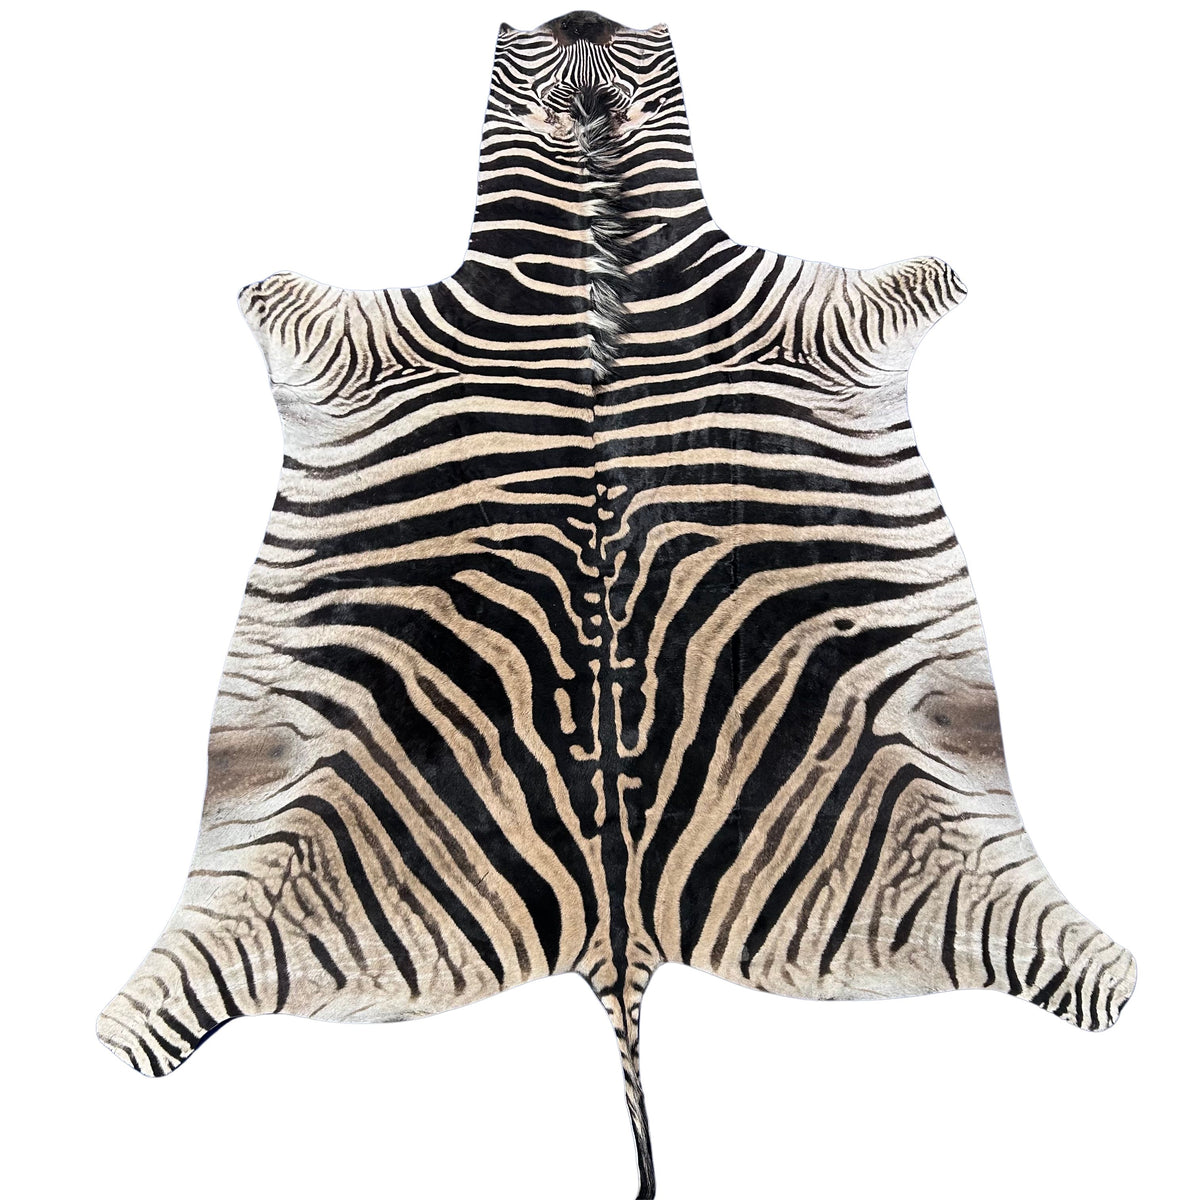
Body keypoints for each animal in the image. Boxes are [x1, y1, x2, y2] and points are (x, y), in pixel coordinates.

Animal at [97, 12, 1135, 1197]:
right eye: (541, 58)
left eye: (623, 52)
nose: (581, 17)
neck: (598, 231)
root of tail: (619, 937)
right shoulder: (355, 332)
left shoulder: (826, 314)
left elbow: (921, 276)